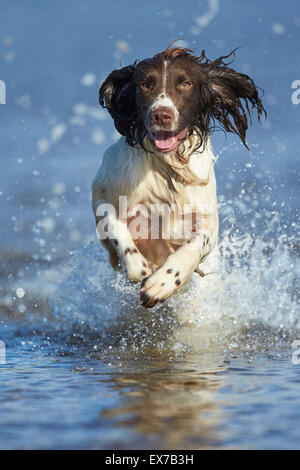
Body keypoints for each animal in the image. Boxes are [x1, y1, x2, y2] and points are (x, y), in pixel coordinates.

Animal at [92, 42, 264, 308]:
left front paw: (162, 283)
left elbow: (196, 243)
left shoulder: (208, 223)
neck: (165, 170)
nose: (161, 114)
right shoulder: (102, 192)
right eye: (145, 84)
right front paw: (136, 267)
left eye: (185, 84)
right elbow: (113, 223)